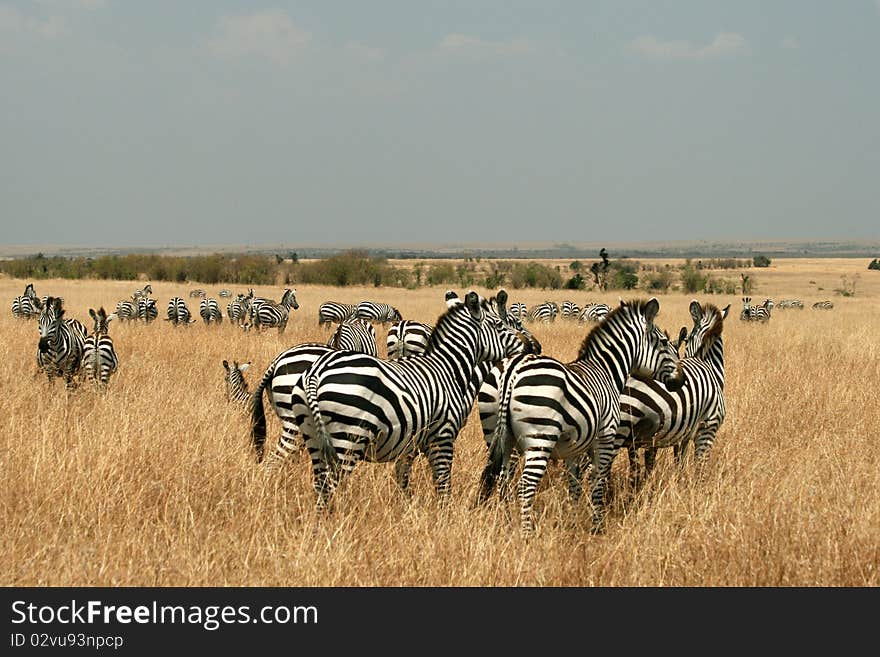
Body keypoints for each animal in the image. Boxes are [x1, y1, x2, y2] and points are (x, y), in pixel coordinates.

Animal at [482, 298, 688, 532]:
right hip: (540, 437)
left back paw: (506, 522)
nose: (681, 380)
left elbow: (575, 484)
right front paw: (597, 525)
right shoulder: (606, 437)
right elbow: (598, 481)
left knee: (502, 479)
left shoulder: (574, 446)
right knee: (525, 485)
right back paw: (526, 533)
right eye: (663, 342)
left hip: (499, 437)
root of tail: (513, 370)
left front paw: (573, 520)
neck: (606, 371)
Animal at [616, 302, 732, 486]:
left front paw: (679, 482)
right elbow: (700, 466)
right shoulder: (708, 427)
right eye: (687, 339)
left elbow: (679, 460)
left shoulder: (683, 433)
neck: (708, 364)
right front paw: (697, 488)